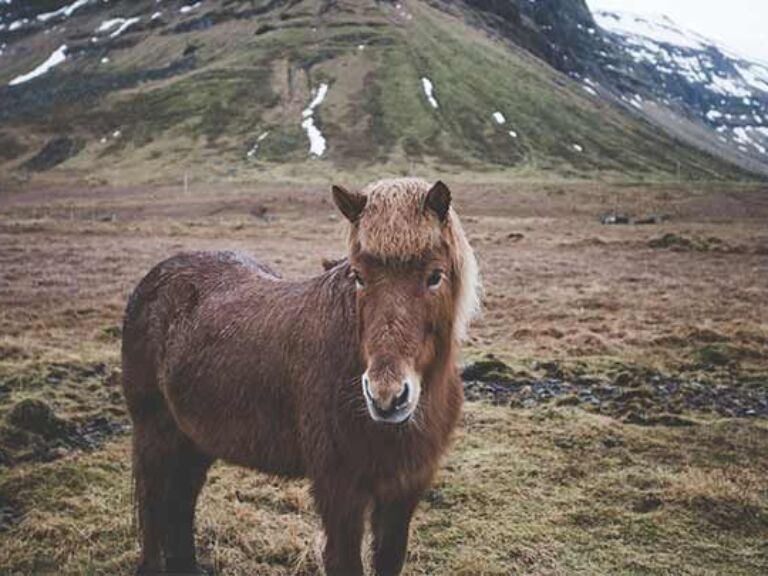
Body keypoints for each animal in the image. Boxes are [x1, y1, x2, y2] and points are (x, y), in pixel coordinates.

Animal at [120, 178, 480, 572]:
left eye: (435, 276)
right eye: (358, 276)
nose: (386, 396)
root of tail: (155, 278)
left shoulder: (403, 491)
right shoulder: (340, 492)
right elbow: (344, 561)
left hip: (195, 439)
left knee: (180, 502)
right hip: (155, 432)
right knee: (154, 506)